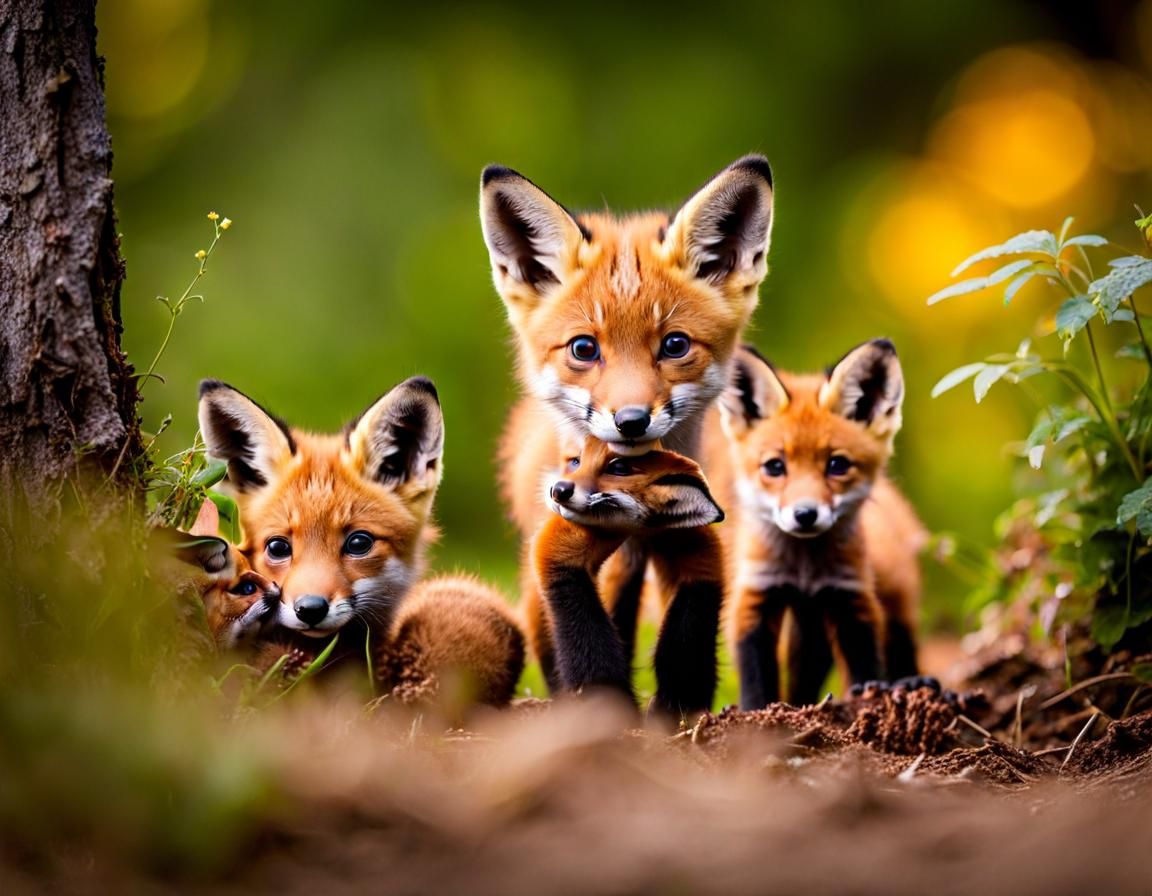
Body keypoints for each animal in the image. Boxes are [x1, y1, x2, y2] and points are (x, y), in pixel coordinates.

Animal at [713, 339, 927, 709]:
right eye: (775, 466)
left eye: (837, 465)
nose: (805, 514)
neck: (805, 569)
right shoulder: (755, 593)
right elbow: (756, 674)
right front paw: (756, 711)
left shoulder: (851, 594)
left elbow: (866, 665)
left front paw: (870, 693)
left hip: (889, 598)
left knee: (902, 646)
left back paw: (915, 681)